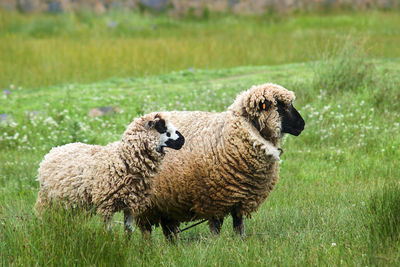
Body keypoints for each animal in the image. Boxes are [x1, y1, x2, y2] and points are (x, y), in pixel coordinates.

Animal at [34, 113, 184, 234]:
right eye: (162, 128)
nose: (182, 140)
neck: (123, 160)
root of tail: (54, 150)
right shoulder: (107, 205)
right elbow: (109, 231)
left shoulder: (129, 204)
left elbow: (128, 230)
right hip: (47, 199)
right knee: (44, 217)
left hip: (71, 202)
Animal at [136, 83, 304, 239]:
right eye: (280, 106)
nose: (302, 125)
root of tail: (138, 120)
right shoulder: (213, 198)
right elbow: (216, 226)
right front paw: (216, 243)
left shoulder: (240, 198)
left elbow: (239, 224)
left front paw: (240, 241)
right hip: (145, 204)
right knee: (147, 230)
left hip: (165, 203)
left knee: (168, 229)